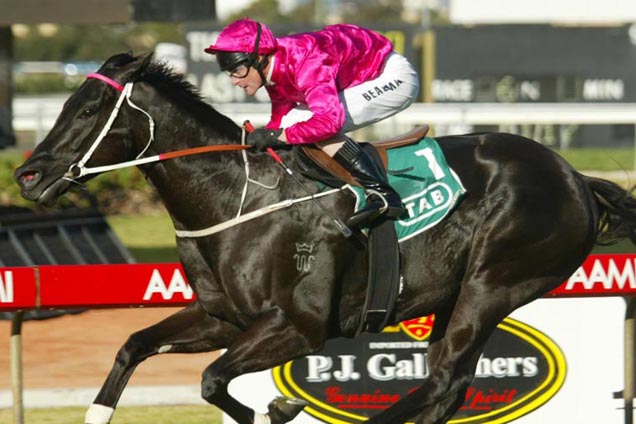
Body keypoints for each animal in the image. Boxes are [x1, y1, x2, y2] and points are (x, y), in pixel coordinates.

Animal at [13, 53, 636, 424]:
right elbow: (134, 346)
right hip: (455, 296)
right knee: (447, 384)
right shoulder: (223, 318)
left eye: (89, 110)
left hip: (493, 285)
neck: (237, 198)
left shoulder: (299, 326)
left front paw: (278, 408)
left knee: (444, 379)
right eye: (65, 105)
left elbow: (213, 380)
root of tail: (575, 177)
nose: (27, 176)